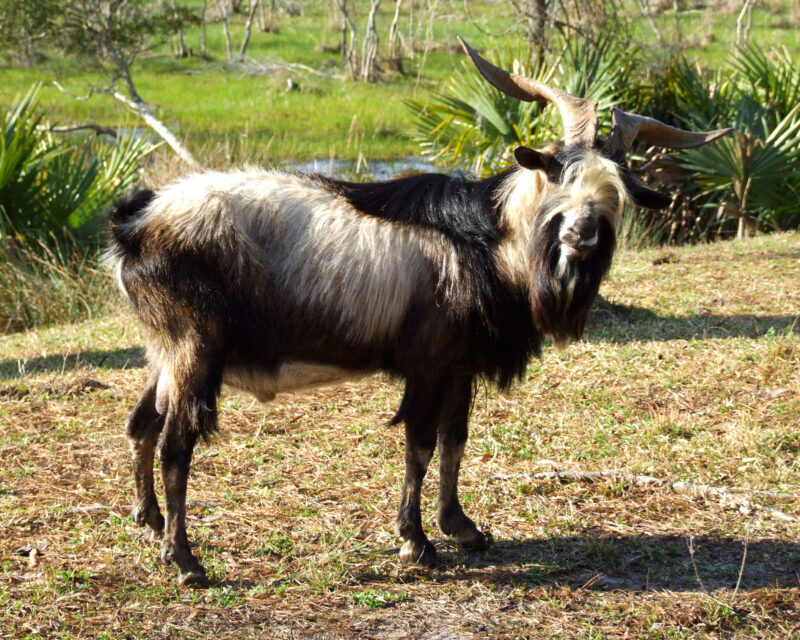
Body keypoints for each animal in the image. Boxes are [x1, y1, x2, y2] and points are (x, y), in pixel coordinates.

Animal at [106, 38, 730, 587]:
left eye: (616, 192)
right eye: (557, 173)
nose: (580, 234)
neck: (491, 239)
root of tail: (137, 222)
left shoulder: (460, 365)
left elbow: (456, 438)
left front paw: (463, 528)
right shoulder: (428, 364)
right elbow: (422, 443)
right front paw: (417, 542)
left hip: (165, 351)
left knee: (141, 423)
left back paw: (149, 524)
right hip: (196, 349)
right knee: (176, 444)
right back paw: (186, 561)